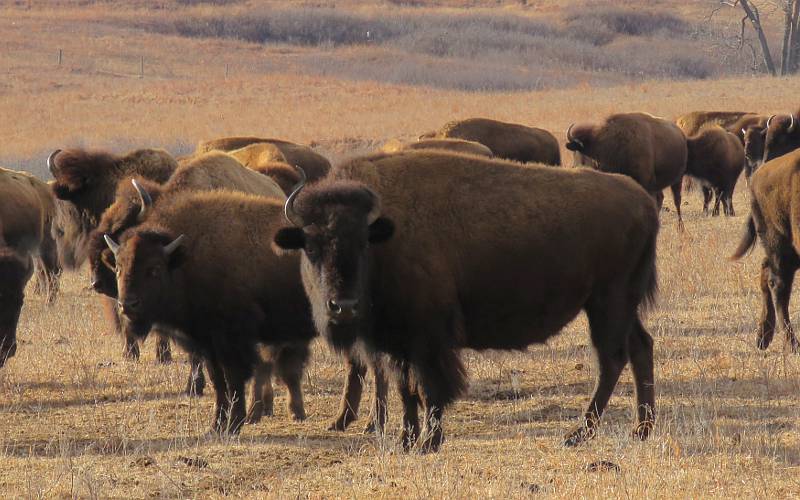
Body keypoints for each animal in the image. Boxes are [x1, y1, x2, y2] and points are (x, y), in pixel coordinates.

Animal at [272, 150, 660, 452]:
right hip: (619, 306)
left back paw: (578, 434)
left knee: (611, 359)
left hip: (608, 302)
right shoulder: (397, 343)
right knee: (640, 347)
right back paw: (641, 429)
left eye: (363, 244)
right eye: (311, 247)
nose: (344, 307)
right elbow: (405, 389)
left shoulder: (427, 341)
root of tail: (643, 200)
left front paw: (429, 442)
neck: (387, 235)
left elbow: (430, 389)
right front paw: (405, 440)